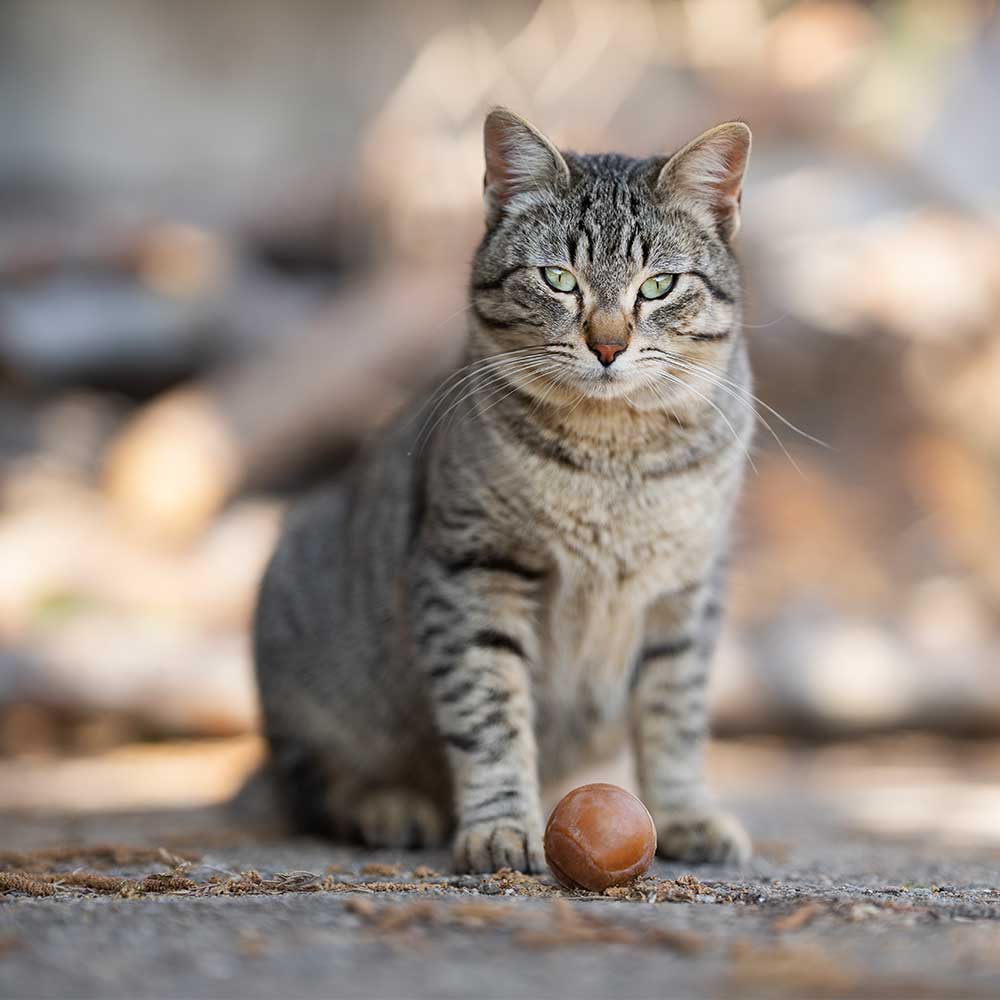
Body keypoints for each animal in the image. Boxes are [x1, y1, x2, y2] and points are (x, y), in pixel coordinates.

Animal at [254, 109, 752, 872]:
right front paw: (499, 826)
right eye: (559, 279)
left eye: (659, 286)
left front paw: (684, 814)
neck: (615, 462)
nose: (608, 346)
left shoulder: (688, 587)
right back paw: (388, 805)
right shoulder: (473, 568)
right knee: (310, 781)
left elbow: (675, 711)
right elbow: (489, 713)